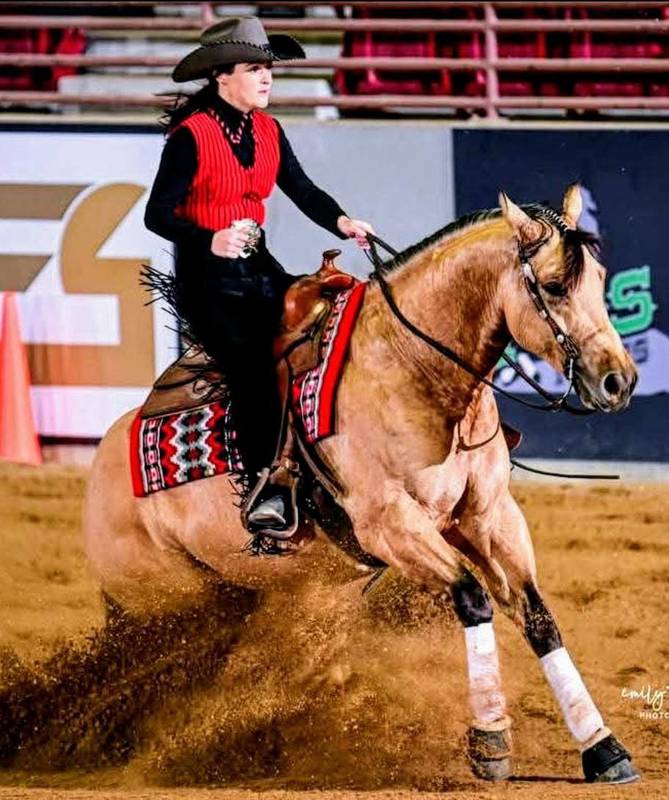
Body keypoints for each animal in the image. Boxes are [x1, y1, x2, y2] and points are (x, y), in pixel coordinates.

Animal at [83, 185, 638, 784]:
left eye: (600, 279)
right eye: (555, 286)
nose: (620, 380)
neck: (410, 367)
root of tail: (98, 475)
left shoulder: (488, 517)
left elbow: (537, 617)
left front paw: (603, 747)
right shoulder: (389, 526)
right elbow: (473, 599)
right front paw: (490, 740)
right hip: (169, 607)